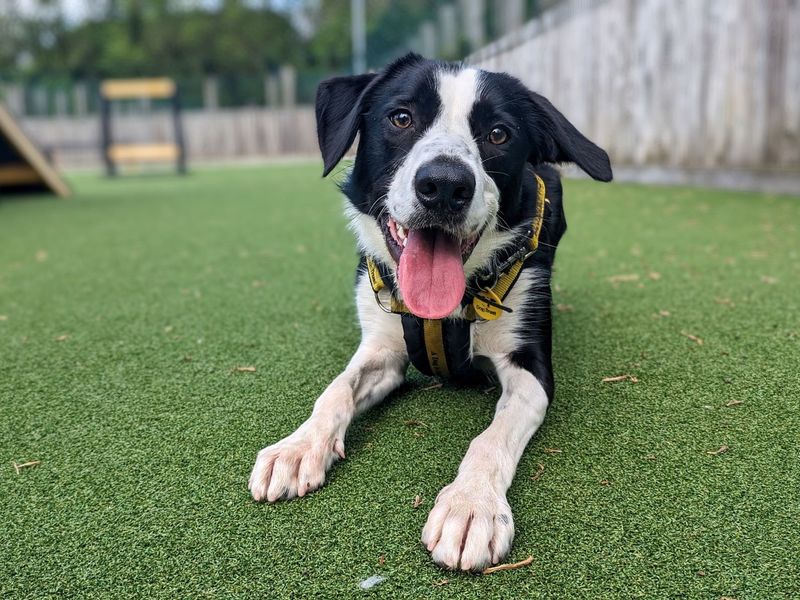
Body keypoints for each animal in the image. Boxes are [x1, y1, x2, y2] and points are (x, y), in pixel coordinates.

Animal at [247, 55, 608, 572]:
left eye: (499, 133)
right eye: (401, 118)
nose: (444, 185)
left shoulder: (530, 369)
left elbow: (490, 437)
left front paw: (471, 506)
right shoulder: (384, 351)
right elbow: (336, 390)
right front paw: (298, 447)